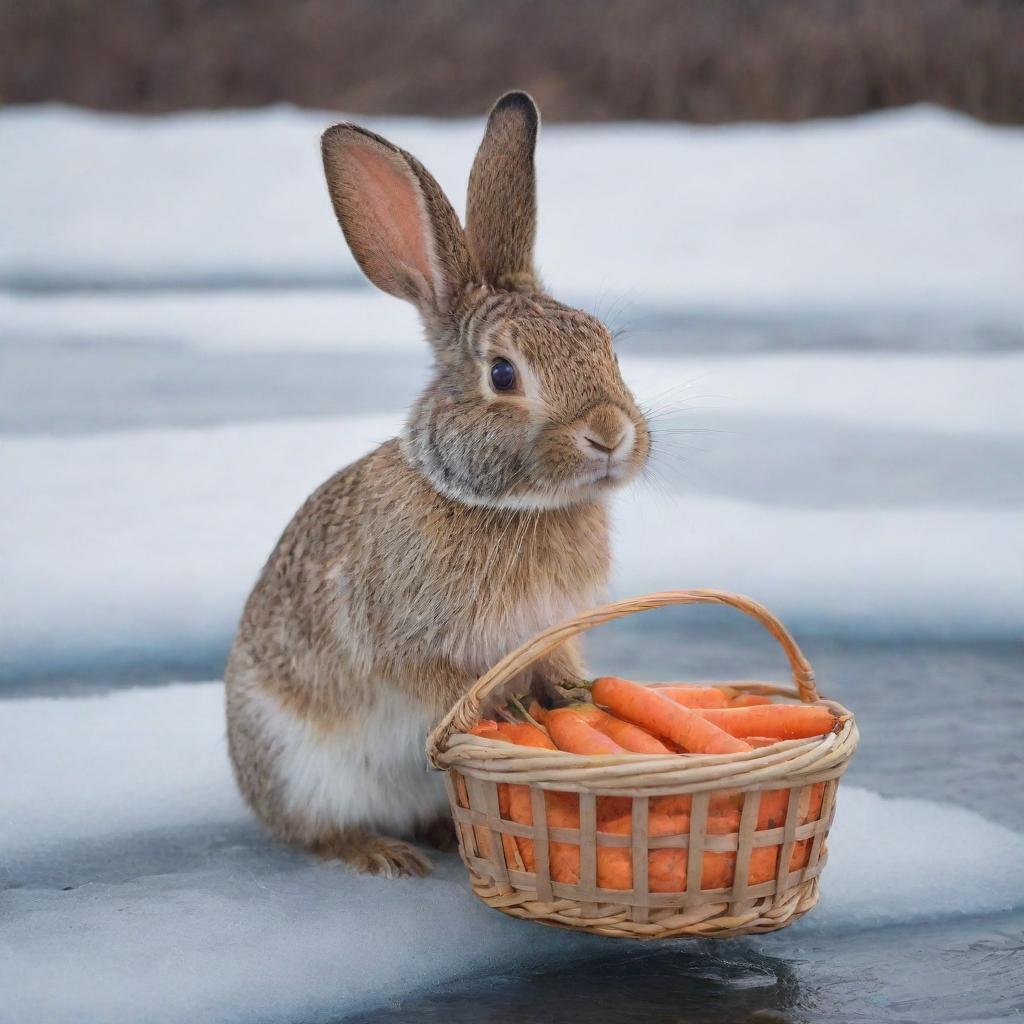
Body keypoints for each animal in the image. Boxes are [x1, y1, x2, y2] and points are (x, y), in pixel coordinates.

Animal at [228, 92, 651, 876]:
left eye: (603, 344)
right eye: (504, 374)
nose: (610, 433)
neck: (500, 503)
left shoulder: (552, 628)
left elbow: (557, 664)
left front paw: (568, 693)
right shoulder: (405, 642)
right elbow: (442, 684)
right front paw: (504, 710)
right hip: (297, 762)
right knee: (316, 832)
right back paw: (384, 855)